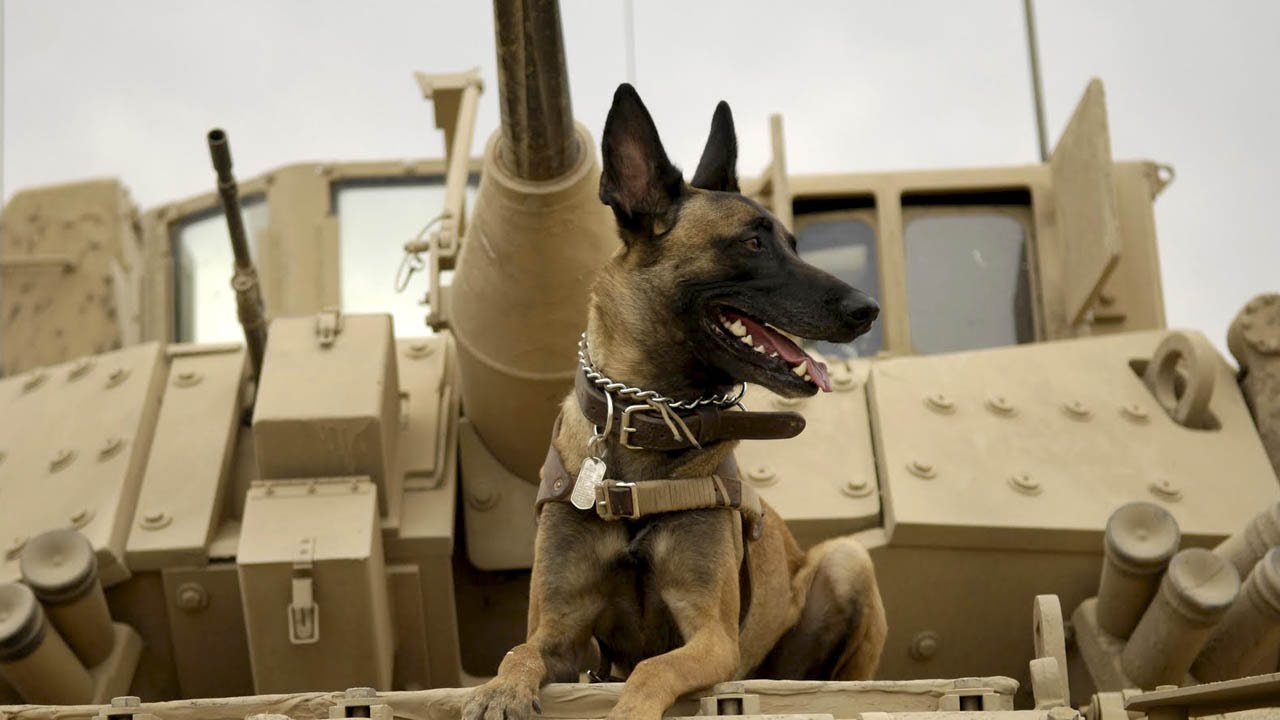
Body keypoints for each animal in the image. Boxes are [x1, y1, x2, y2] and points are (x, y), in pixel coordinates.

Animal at [463, 85, 890, 717]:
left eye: (792, 244)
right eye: (753, 242)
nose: (867, 309)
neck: (647, 422)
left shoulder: (712, 638)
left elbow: (652, 669)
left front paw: (629, 709)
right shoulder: (559, 632)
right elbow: (519, 653)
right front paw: (498, 692)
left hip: (846, 561)